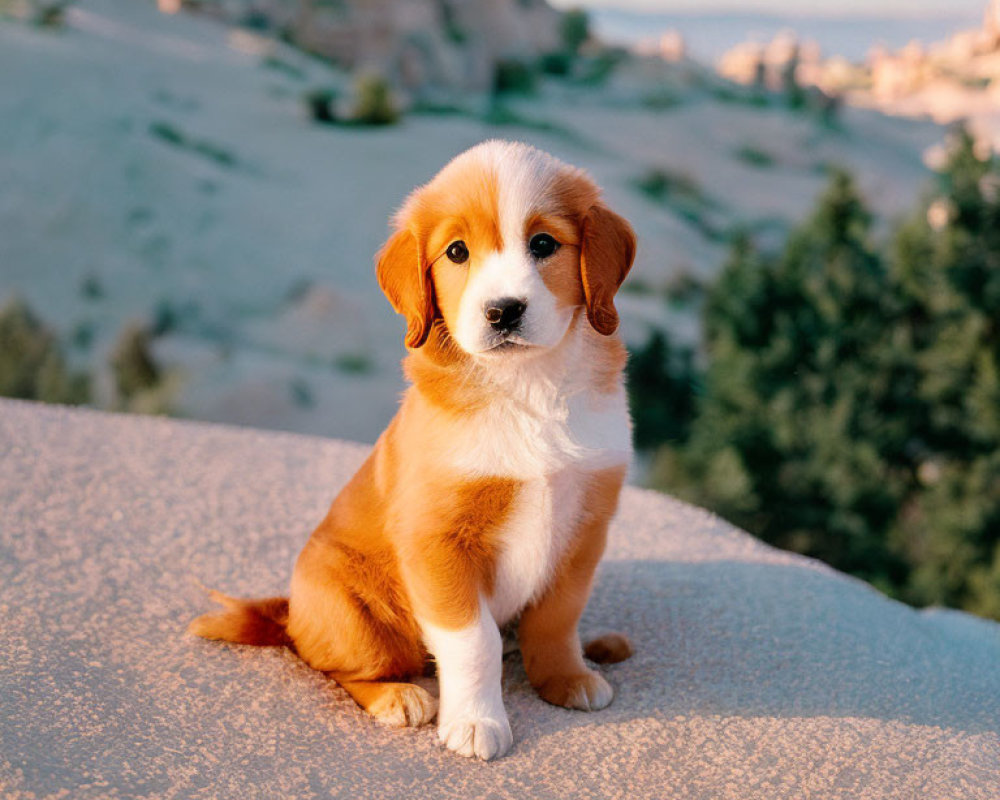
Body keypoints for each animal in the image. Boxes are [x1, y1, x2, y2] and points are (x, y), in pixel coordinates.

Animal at [191, 141, 636, 760]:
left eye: (544, 244)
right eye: (457, 252)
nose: (503, 311)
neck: (527, 387)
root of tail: (289, 614)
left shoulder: (584, 530)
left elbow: (558, 616)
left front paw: (563, 677)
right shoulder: (437, 540)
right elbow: (474, 641)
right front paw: (475, 722)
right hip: (351, 610)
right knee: (330, 663)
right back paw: (397, 696)